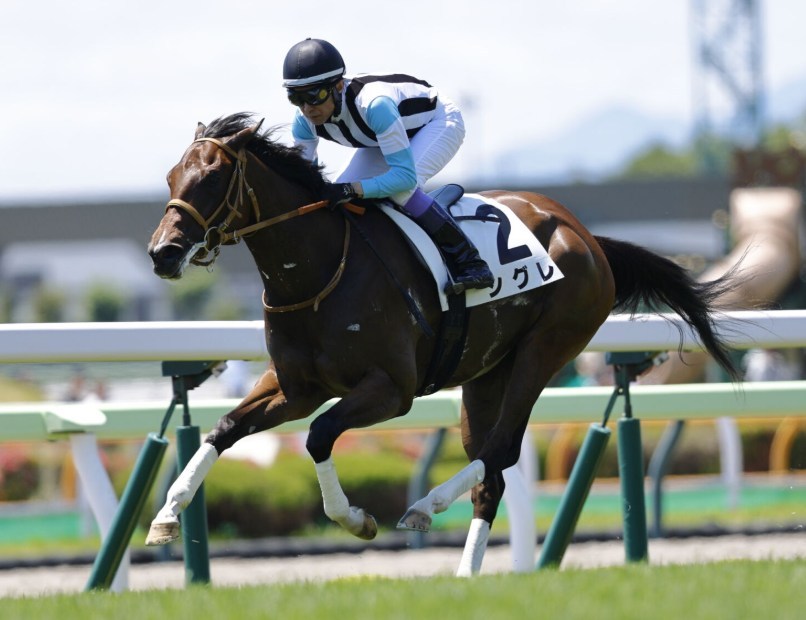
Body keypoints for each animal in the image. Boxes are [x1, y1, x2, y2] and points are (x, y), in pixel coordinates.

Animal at [145, 112, 741, 576]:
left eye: (213, 176)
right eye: (173, 175)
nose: (163, 253)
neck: (318, 271)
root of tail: (586, 235)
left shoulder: (392, 390)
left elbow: (319, 435)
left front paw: (356, 519)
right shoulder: (296, 388)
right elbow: (225, 428)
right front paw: (167, 516)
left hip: (545, 350)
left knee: (499, 450)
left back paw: (425, 508)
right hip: (486, 375)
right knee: (490, 473)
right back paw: (463, 572)